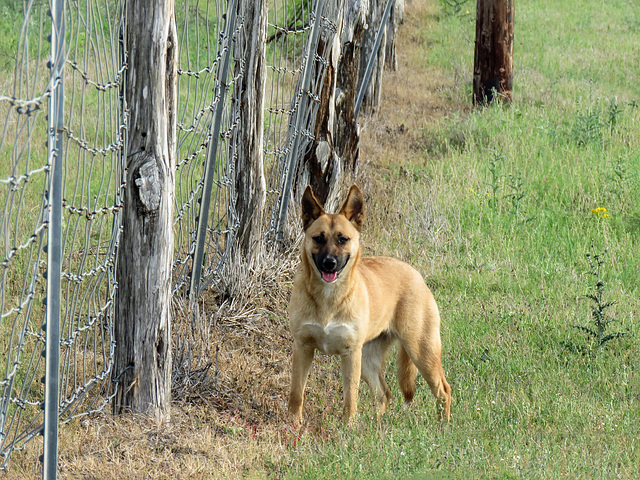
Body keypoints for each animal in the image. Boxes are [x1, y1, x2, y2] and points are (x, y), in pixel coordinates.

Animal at [288, 184, 452, 424]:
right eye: (318, 238)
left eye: (343, 239)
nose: (329, 263)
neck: (330, 297)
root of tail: (415, 274)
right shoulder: (303, 348)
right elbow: (296, 395)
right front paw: (293, 426)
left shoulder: (350, 355)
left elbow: (350, 399)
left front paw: (347, 428)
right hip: (368, 361)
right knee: (384, 393)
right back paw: (377, 426)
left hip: (421, 351)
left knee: (443, 390)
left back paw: (443, 426)